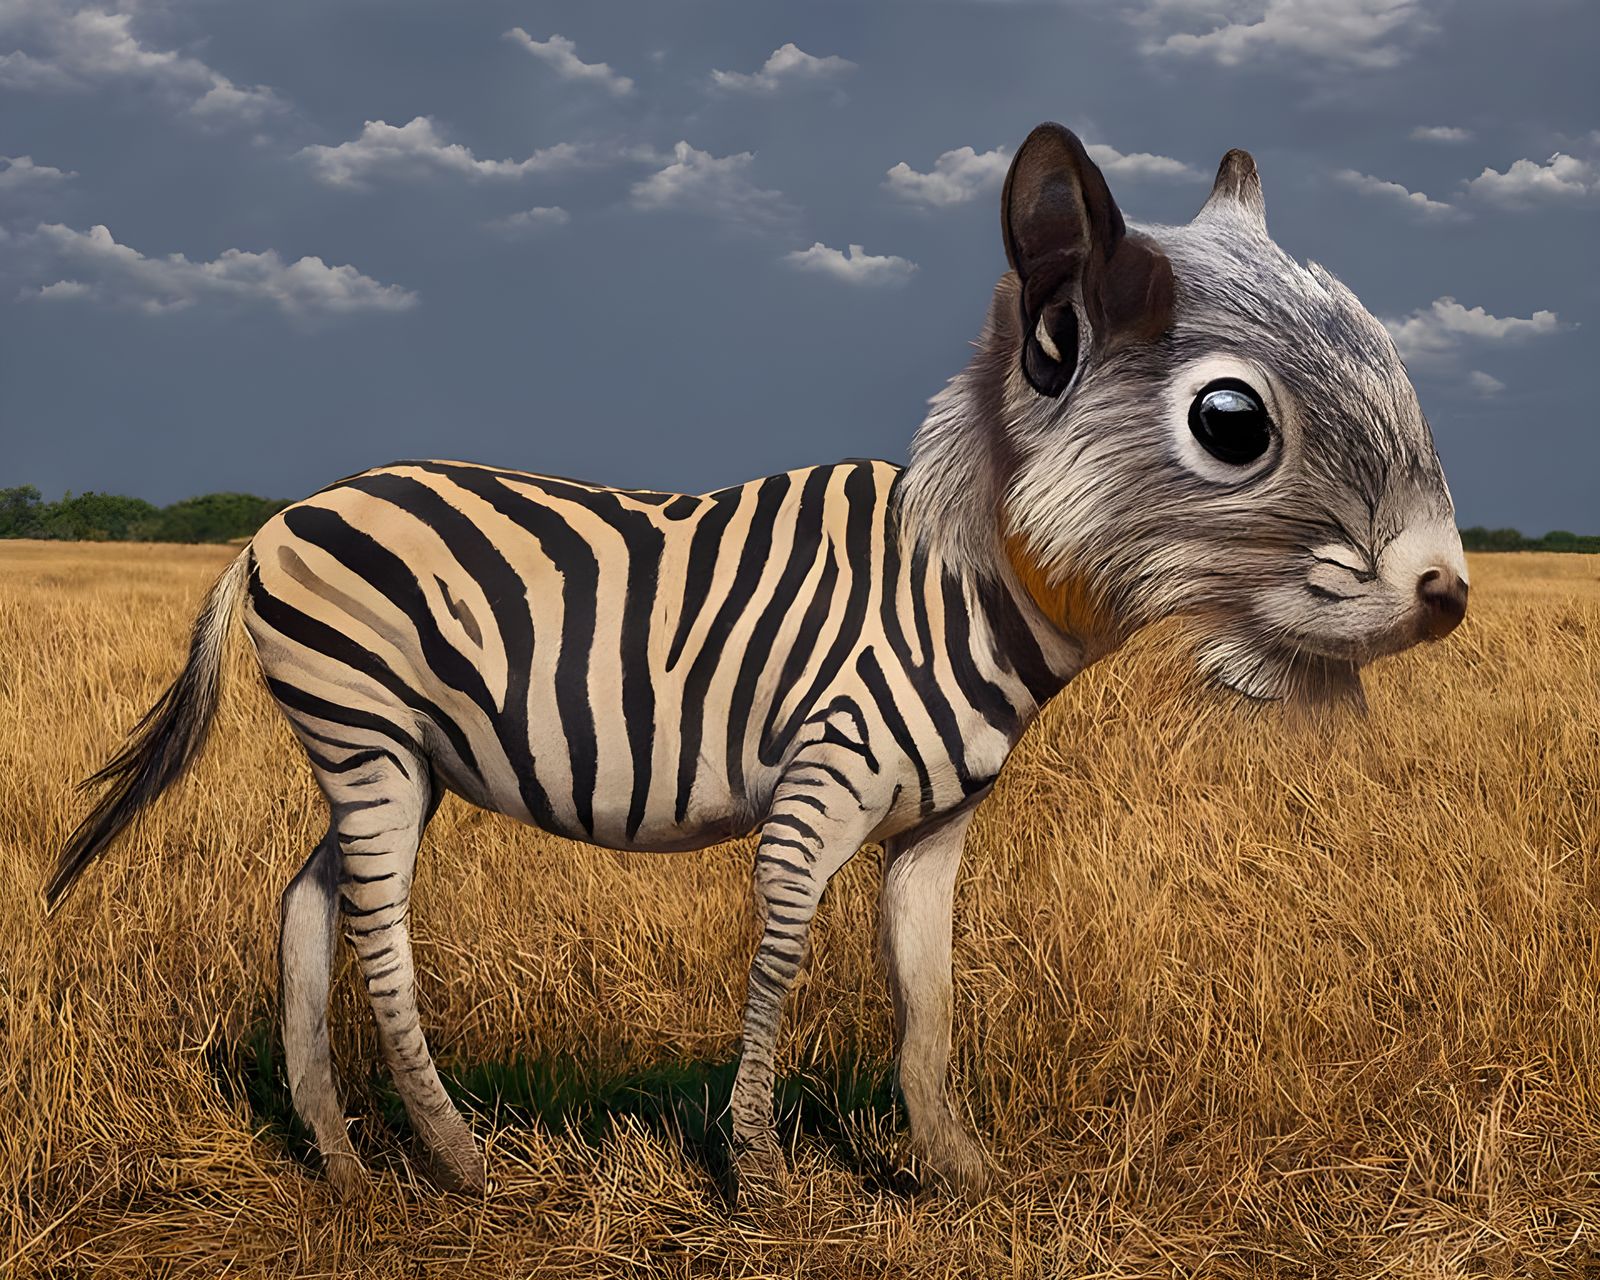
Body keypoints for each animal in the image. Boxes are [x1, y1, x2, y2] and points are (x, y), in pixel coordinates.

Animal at [47, 124, 1468, 1200]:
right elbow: (779, 961)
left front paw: (959, 1174)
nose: (1449, 594)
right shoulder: (816, 788)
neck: (963, 584)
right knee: (377, 927)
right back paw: (456, 1159)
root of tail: (277, 520)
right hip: (369, 731)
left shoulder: (936, 824)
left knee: (308, 900)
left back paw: (340, 1159)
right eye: (1231, 424)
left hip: (399, 748)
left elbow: (926, 994)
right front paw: (761, 1174)